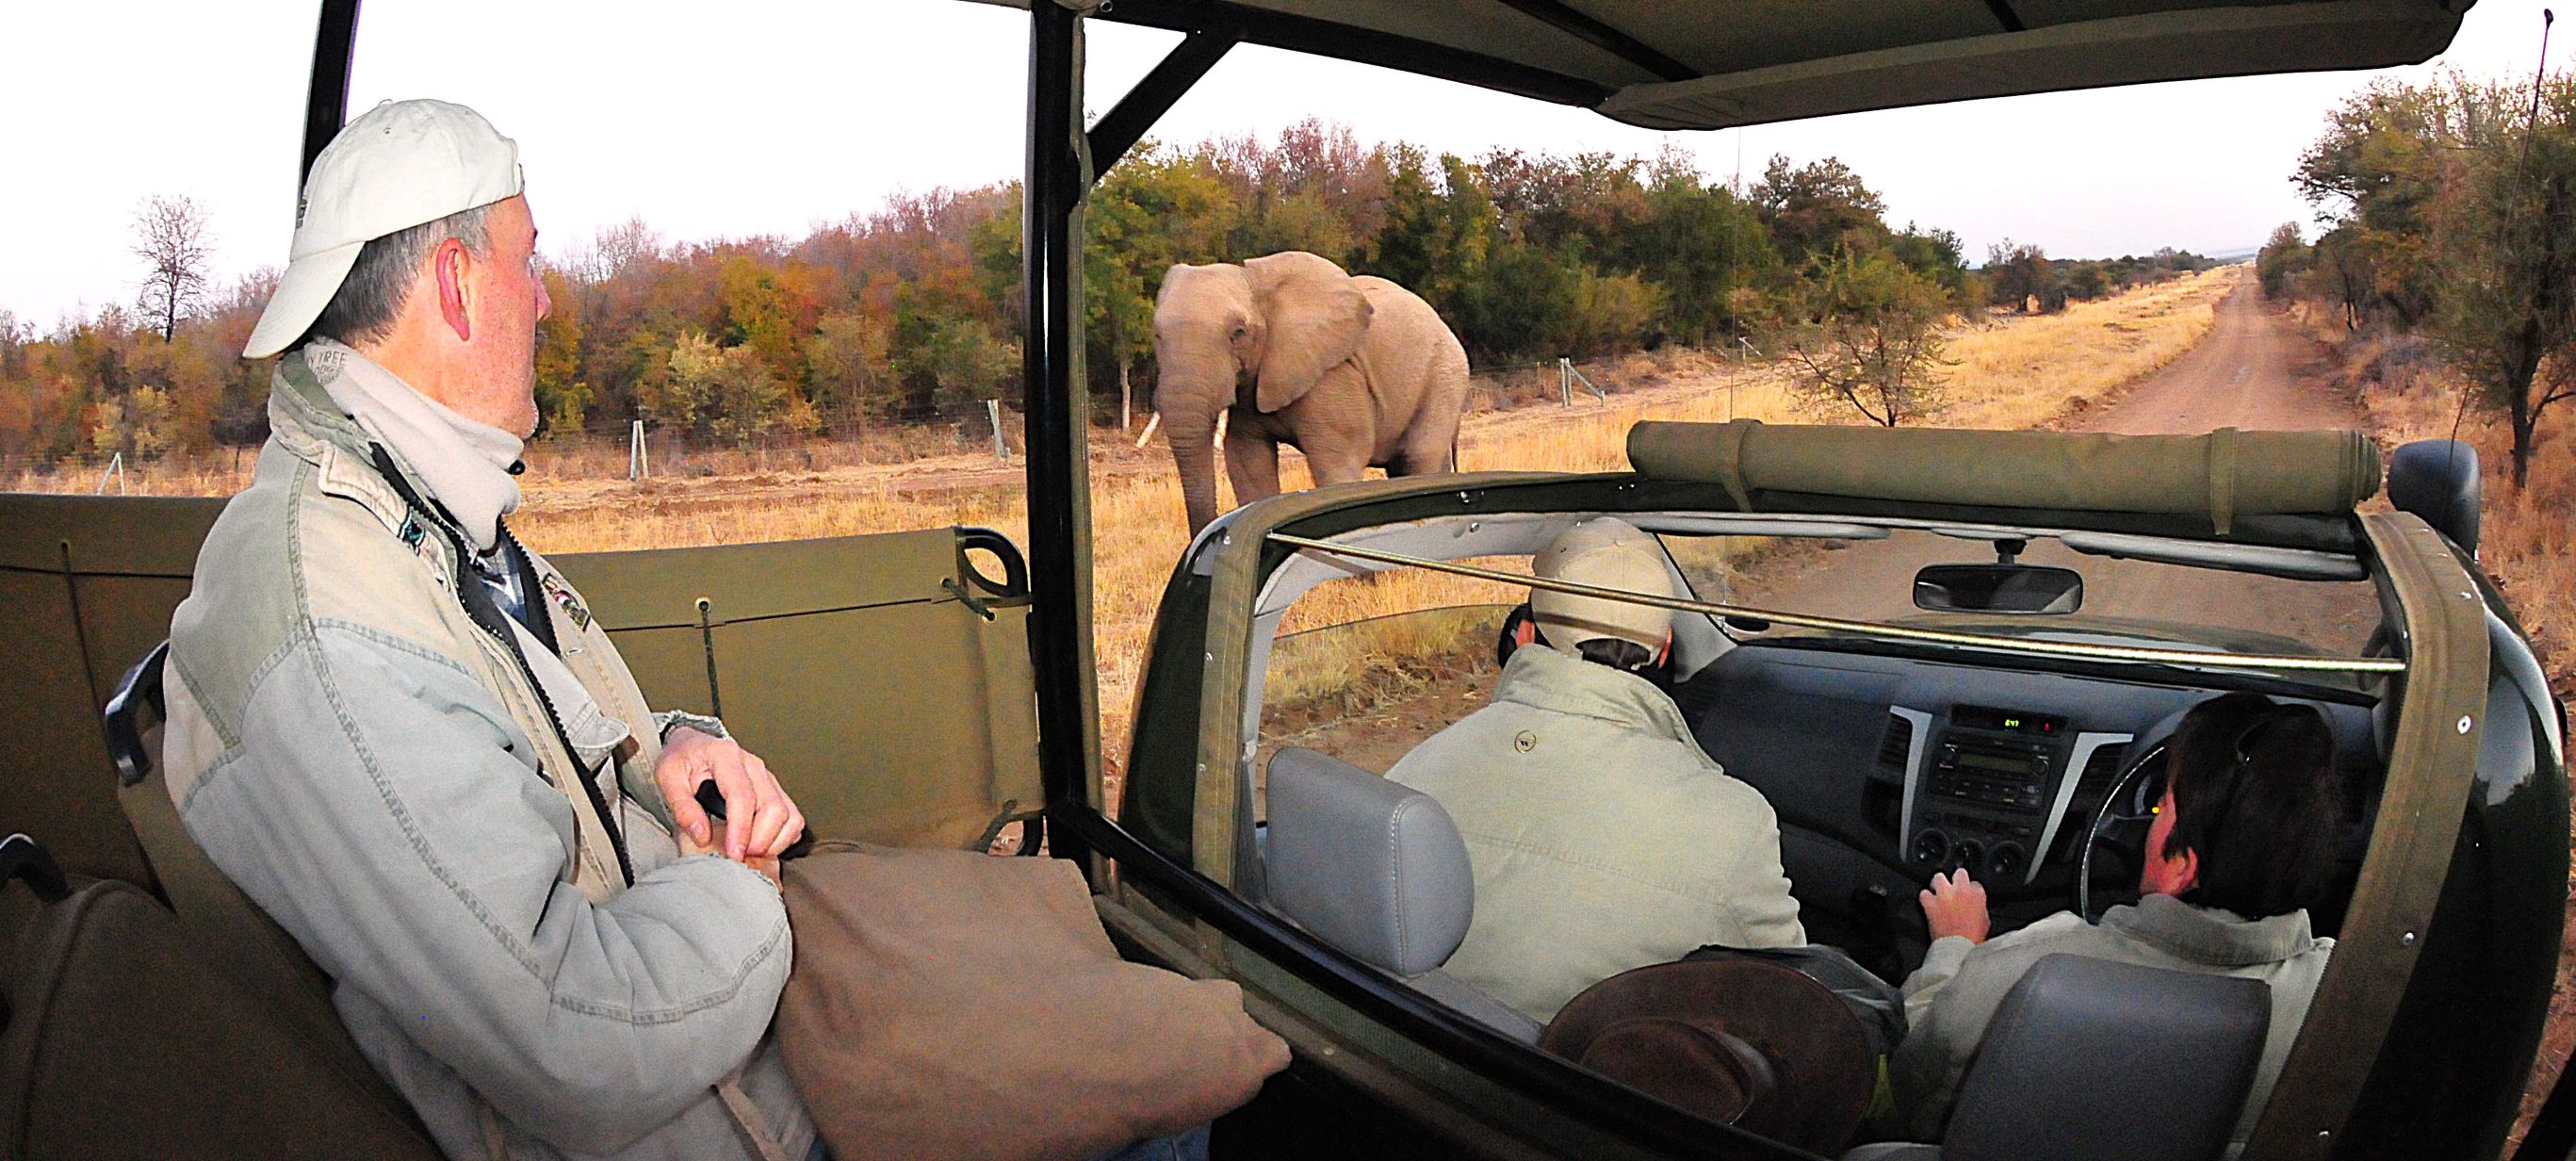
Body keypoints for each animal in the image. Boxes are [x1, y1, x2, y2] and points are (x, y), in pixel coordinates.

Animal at [1152, 251, 1471, 534]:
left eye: (1238, 333)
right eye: (1157, 335)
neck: (1255, 282)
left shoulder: (1334, 375)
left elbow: (1336, 463)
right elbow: (1248, 463)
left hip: (1445, 374)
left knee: (1420, 457)